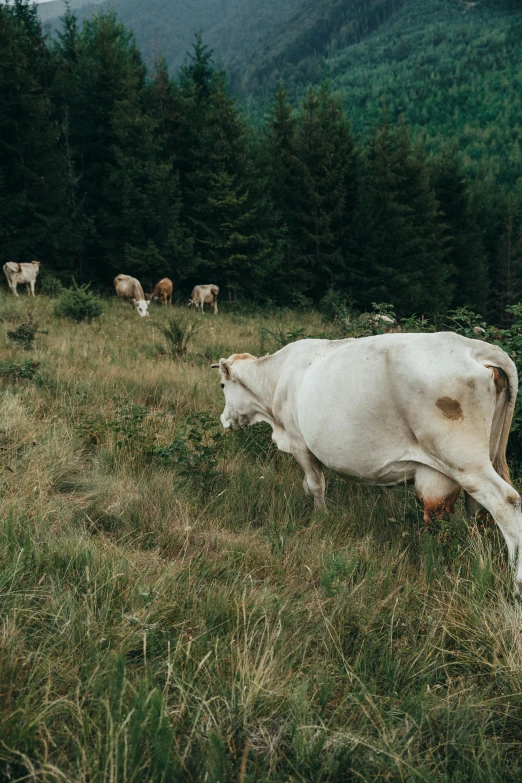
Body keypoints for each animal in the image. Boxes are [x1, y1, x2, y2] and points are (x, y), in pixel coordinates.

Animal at [211, 332, 522, 596]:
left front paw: (320, 516)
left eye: (223, 385)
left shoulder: (301, 444)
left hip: (464, 460)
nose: (224, 420)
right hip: (482, 456)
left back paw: (517, 581)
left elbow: (316, 484)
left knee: (506, 501)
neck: (277, 380)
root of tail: (475, 347)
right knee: (476, 508)